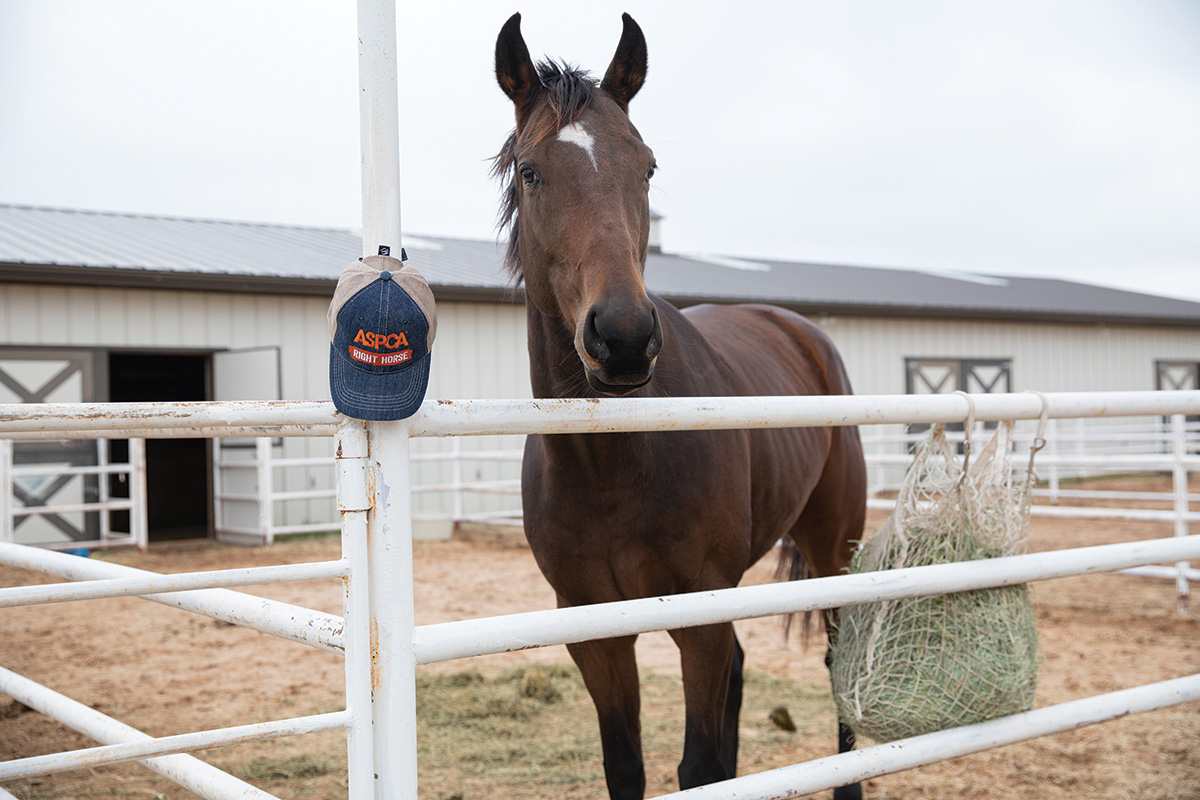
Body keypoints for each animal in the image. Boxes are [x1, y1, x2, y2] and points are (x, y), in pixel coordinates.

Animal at [492, 14, 868, 800]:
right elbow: (628, 767)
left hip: (833, 546)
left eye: (648, 167)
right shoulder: (596, 630)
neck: (611, 462)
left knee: (838, 661)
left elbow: (697, 767)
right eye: (531, 171)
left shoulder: (700, 613)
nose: (624, 338)